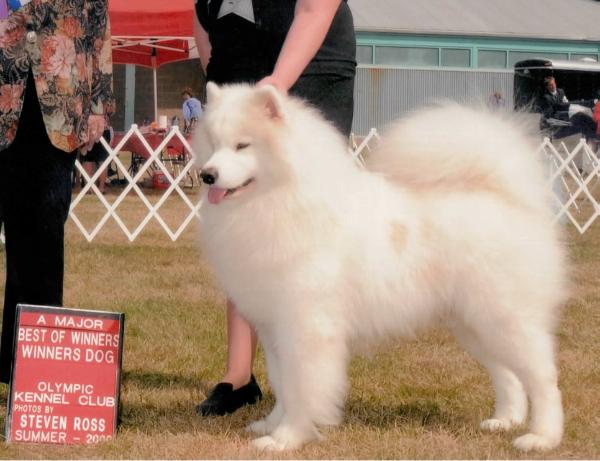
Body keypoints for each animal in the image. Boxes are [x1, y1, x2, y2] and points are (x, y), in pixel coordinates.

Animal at [193, 82, 568, 450]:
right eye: (212, 143)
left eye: (242, 145)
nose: (207, 175)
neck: (278, 199)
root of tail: (507, 198)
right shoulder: (273, 328)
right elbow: (283, 383)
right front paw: (270, 425)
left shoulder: (306, 327)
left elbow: (301, 388)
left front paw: (287, 437)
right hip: (474, 324)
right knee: (508, 375)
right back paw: (504, 420)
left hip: (505, 318)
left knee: (544, 378)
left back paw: (541, 437)